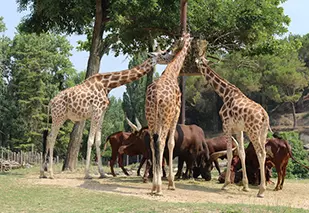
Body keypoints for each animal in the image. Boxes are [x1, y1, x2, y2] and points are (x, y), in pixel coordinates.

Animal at [39, 48, 178, 180]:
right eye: (164, 53)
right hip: (59, 116)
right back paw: (50, 173)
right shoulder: (96, 111)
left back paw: (42, 173)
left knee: (49, 137)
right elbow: (90, 141)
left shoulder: (102, 112)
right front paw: (87, 174)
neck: (108, 85)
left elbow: (98, 141)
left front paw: (102, 173)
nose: (173, 57)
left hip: (58, 117)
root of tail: (51, 102)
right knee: (51, 138)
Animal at [145, 32, 192, 195]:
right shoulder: (176, 113)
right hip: (166, 117)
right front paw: (171, 183)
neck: (172, 72)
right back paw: (159, 187)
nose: (171, 53)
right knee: (161, 141)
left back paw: (154, 186)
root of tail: (156, 96)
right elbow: (171, 143)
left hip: (150, 116)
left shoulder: (158, 119)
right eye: (165, 52)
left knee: (153, 143)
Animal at [196, 56, 270, 198]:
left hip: (253, 131)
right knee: (263, 153)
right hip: (263, 133)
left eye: (198, 61)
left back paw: (261, 190)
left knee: (261, 153)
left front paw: (225, 184)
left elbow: (230, 153)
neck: (224, 93)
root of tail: (264, 115)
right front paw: (245, 186)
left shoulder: (226, 126)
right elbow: (241, 153)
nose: (194, 63)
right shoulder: (239, 129)